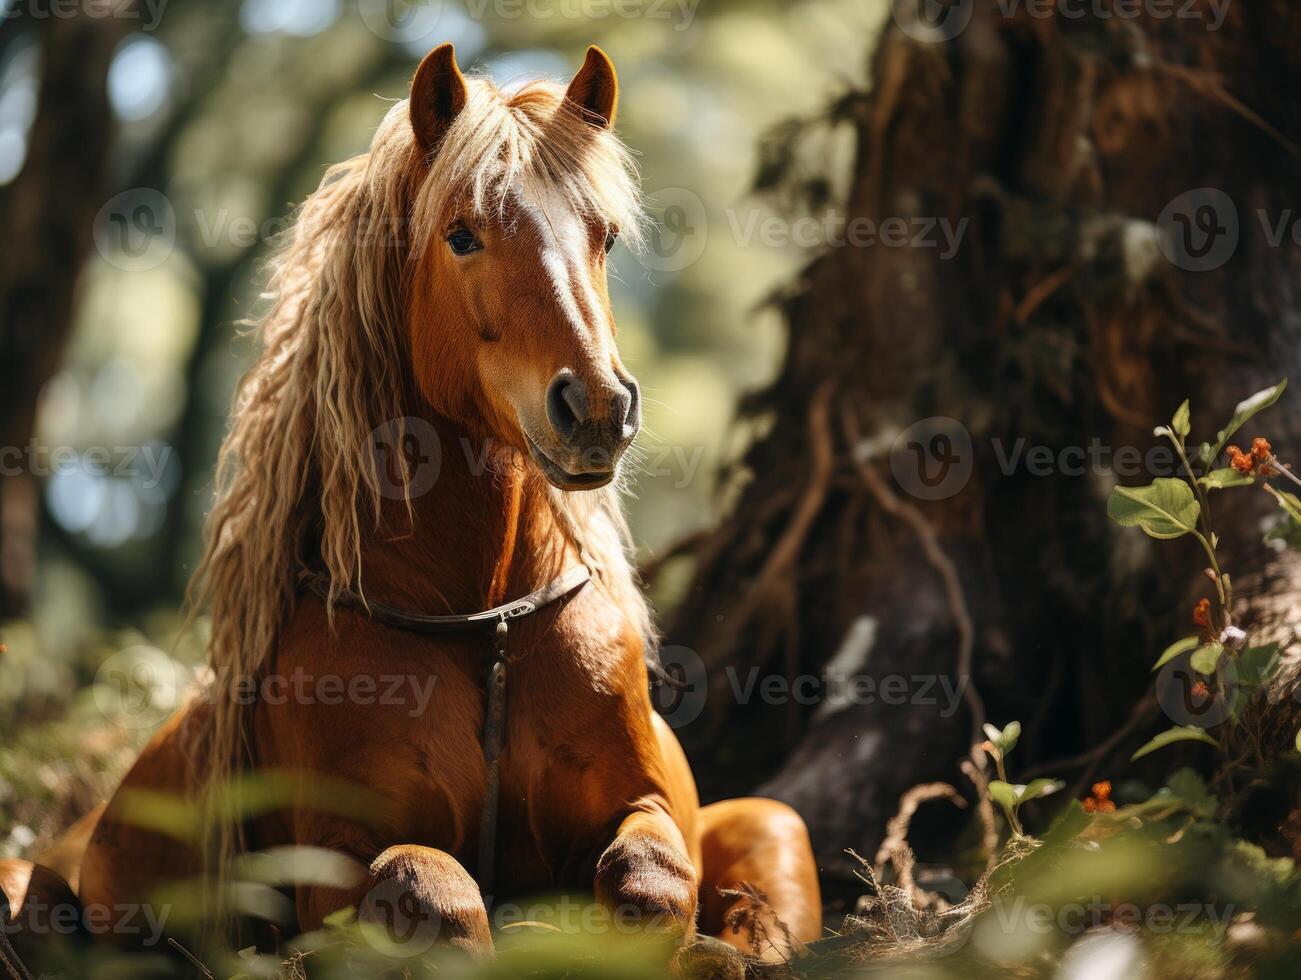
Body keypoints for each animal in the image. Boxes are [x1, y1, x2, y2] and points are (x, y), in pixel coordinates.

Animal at [0, 43, 817, 973]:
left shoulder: (641, 807)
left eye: (605, 236)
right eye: (462, 235)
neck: (486, 626)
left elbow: (651, 882)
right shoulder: (338, 858)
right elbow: (434, 893)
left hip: (772, 820)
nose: (598, 410)